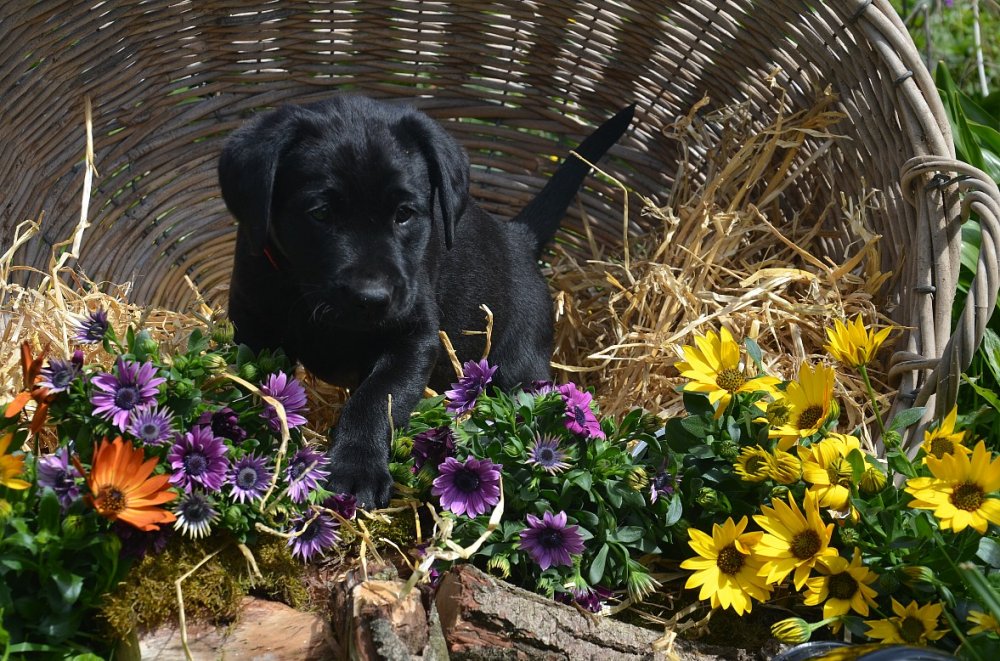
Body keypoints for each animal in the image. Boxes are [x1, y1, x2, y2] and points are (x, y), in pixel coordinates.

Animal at [219, 95, 633, 508]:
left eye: (404, 214)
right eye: (320, 213)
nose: (373, 299)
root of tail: (518, 236)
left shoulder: (413, 338)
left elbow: (376, 399)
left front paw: (355, 468)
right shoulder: (252, 323)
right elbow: (255, 381)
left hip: (521, 362)